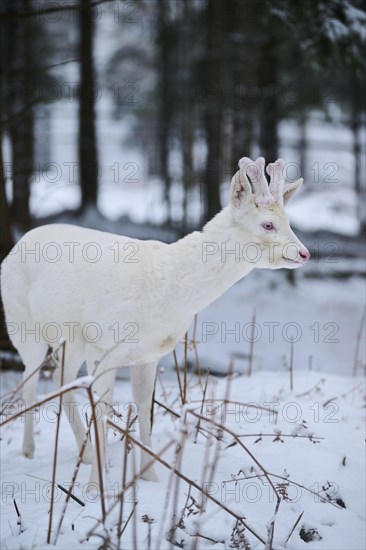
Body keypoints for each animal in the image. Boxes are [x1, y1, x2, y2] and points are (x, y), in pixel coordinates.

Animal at [0, 157, 308, 486]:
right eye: (267, 224)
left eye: (289, 221)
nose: (304, 253)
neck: (165, 290)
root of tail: (19, 242)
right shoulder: (103, 346)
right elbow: (102, 412)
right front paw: (97, 488)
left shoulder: (147, 354)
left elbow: (145, 408)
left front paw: (150, 477)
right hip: (22, 325)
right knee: (30, 378)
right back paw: (30, 450)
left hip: (71, 341)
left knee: (62, 379)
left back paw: (84, 454)